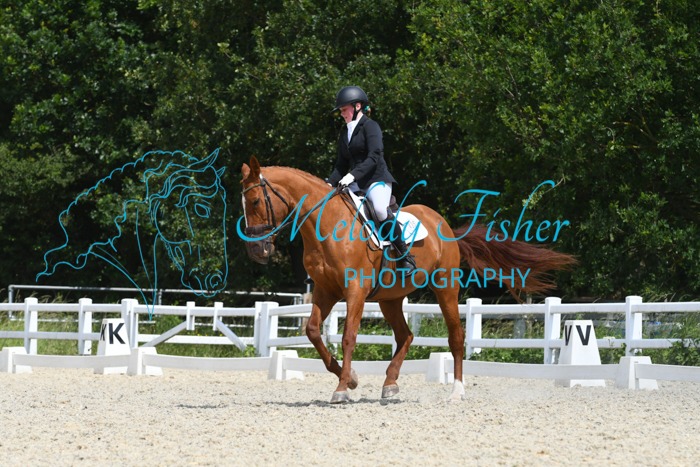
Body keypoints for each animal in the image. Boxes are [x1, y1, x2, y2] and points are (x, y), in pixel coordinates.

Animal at [239, 156, 575, 403]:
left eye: (254, 202)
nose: (256, 251)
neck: (326, 226)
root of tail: (445, 226)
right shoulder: (325, 290)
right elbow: (312, 332)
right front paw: (352, 379)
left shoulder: (355, 291)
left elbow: (348, 337)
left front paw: (342, 388)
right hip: (390, 299)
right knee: (406, 336)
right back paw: (390, 385)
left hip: (445, 288)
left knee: (455, 337)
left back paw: (457, 391)